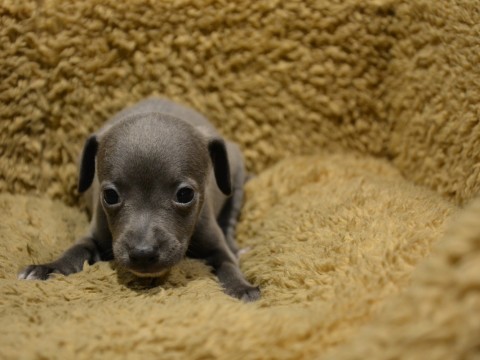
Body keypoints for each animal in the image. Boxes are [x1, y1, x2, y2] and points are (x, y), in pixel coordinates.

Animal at [18, 97, 260, 300]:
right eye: (110, 195)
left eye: (185, 194)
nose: (143, 253)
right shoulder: (95, 233)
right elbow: (75, 250)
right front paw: (49, 267)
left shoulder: (214, 242)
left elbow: (228, 263)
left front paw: (242, 286)